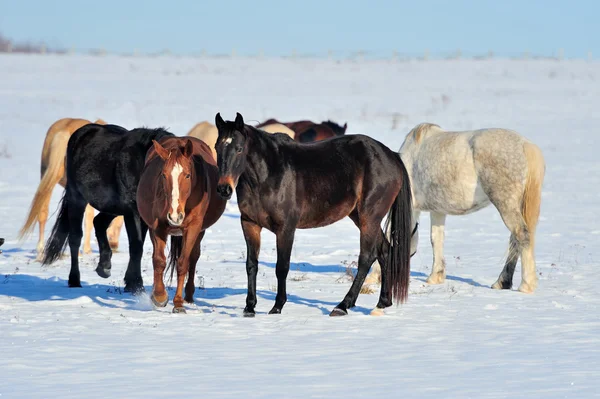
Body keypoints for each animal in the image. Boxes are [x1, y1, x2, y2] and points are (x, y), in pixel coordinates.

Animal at [18, 115, 124, 260]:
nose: (115, 245)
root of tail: (63, 132)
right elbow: (89, 218)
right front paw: (87, 250)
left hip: (46, 176)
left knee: (42, 212)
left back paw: (40, 253)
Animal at [40, 123, 173, 292]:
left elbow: (138, 245)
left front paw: (131, 282)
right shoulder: (132, 212)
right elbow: (136, 246)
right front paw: (136, 285)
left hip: (112, 207)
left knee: (99, 223)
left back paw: (104, 266)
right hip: (77, 198)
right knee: (75, 238)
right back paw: (75, 280)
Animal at [137, 136, 226, 314]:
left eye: (187, 175)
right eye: (163, 175)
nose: (174, 216)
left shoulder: (193, 228)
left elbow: (183, 263)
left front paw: (178, 303)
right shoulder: (157, 227)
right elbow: (159, 260)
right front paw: (159, 296)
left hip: (199, 232)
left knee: (193, 257)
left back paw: (189, 296)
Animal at [212, 113, 412, 318]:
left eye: (239, 149)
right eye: (217, 147)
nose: (224, 189)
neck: (267, 175)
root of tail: (391, 156)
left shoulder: (286, 228)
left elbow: (281, 267)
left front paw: (277, 306)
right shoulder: (249, 224)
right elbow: (251, 265)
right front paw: (249, 307)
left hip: (369, 217)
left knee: (366, 258)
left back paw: (343, 305)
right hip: (360, 216)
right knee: (385, 251)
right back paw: (382, 302)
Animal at [364, 123, 548, 296]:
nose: (378, 278)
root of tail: (525, 144)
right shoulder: (437, 210)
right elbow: (436, 239)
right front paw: (436, 276)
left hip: (505, 203)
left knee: (521, 235)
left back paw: (526, 285)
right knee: (515, 239)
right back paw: (502, 282)